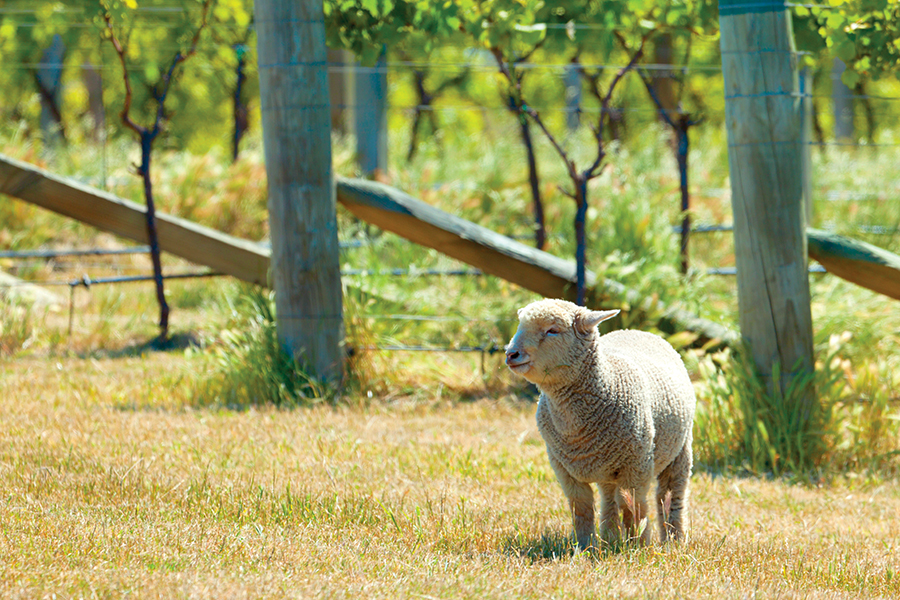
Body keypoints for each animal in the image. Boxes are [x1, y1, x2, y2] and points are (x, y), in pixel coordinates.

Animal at [506, 298, 696, 552]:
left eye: (553, 330)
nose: (511, 354)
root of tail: (634, 330)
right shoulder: (563, 468)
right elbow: (581, 508)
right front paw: (585, 547)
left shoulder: (637, 465)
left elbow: (634, 508)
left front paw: (638, 545)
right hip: (606, 465)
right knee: (609, 497)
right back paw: (610, 538)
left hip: (680, 450)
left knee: (671, 494)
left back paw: (674, 540)